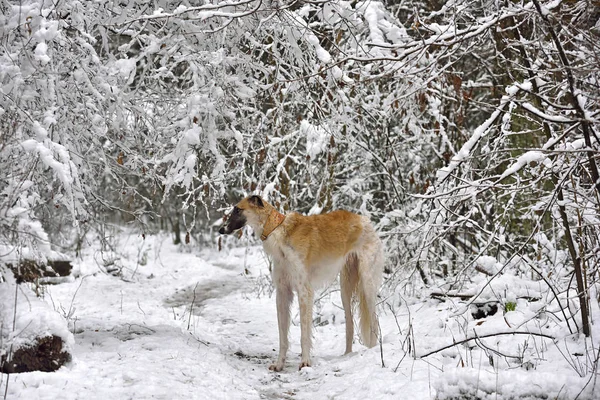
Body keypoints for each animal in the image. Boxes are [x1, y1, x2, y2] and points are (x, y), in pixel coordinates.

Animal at [219, 195, 384, 370]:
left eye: (238, 209)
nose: (220, 230)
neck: (278, 230)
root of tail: (365, 220)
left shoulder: (304, 291)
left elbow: (304, 334)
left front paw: (305, 362)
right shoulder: (282, 292)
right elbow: (282, 336)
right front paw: (279, 364)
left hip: (367, 283)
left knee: (374, 322)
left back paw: (373, 352)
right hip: (345, 288)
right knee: (350, 325)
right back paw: (347, 355)